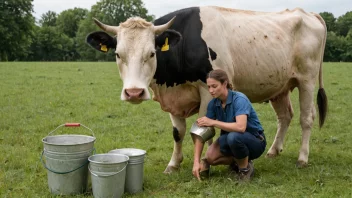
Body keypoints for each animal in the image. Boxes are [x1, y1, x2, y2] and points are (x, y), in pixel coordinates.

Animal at [86, 6, 328, 173]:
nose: (134, 93)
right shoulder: (175, 98)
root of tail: (308, 13)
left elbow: (204, 128)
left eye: (152, 53)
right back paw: (273, 151)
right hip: (280, 86)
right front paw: (173, 165)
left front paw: (203, 164)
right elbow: (178, 132)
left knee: (306, 118)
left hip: (307, 79)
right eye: (118, 54)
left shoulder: (205, 90)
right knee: (285, 116)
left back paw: (302, 158)